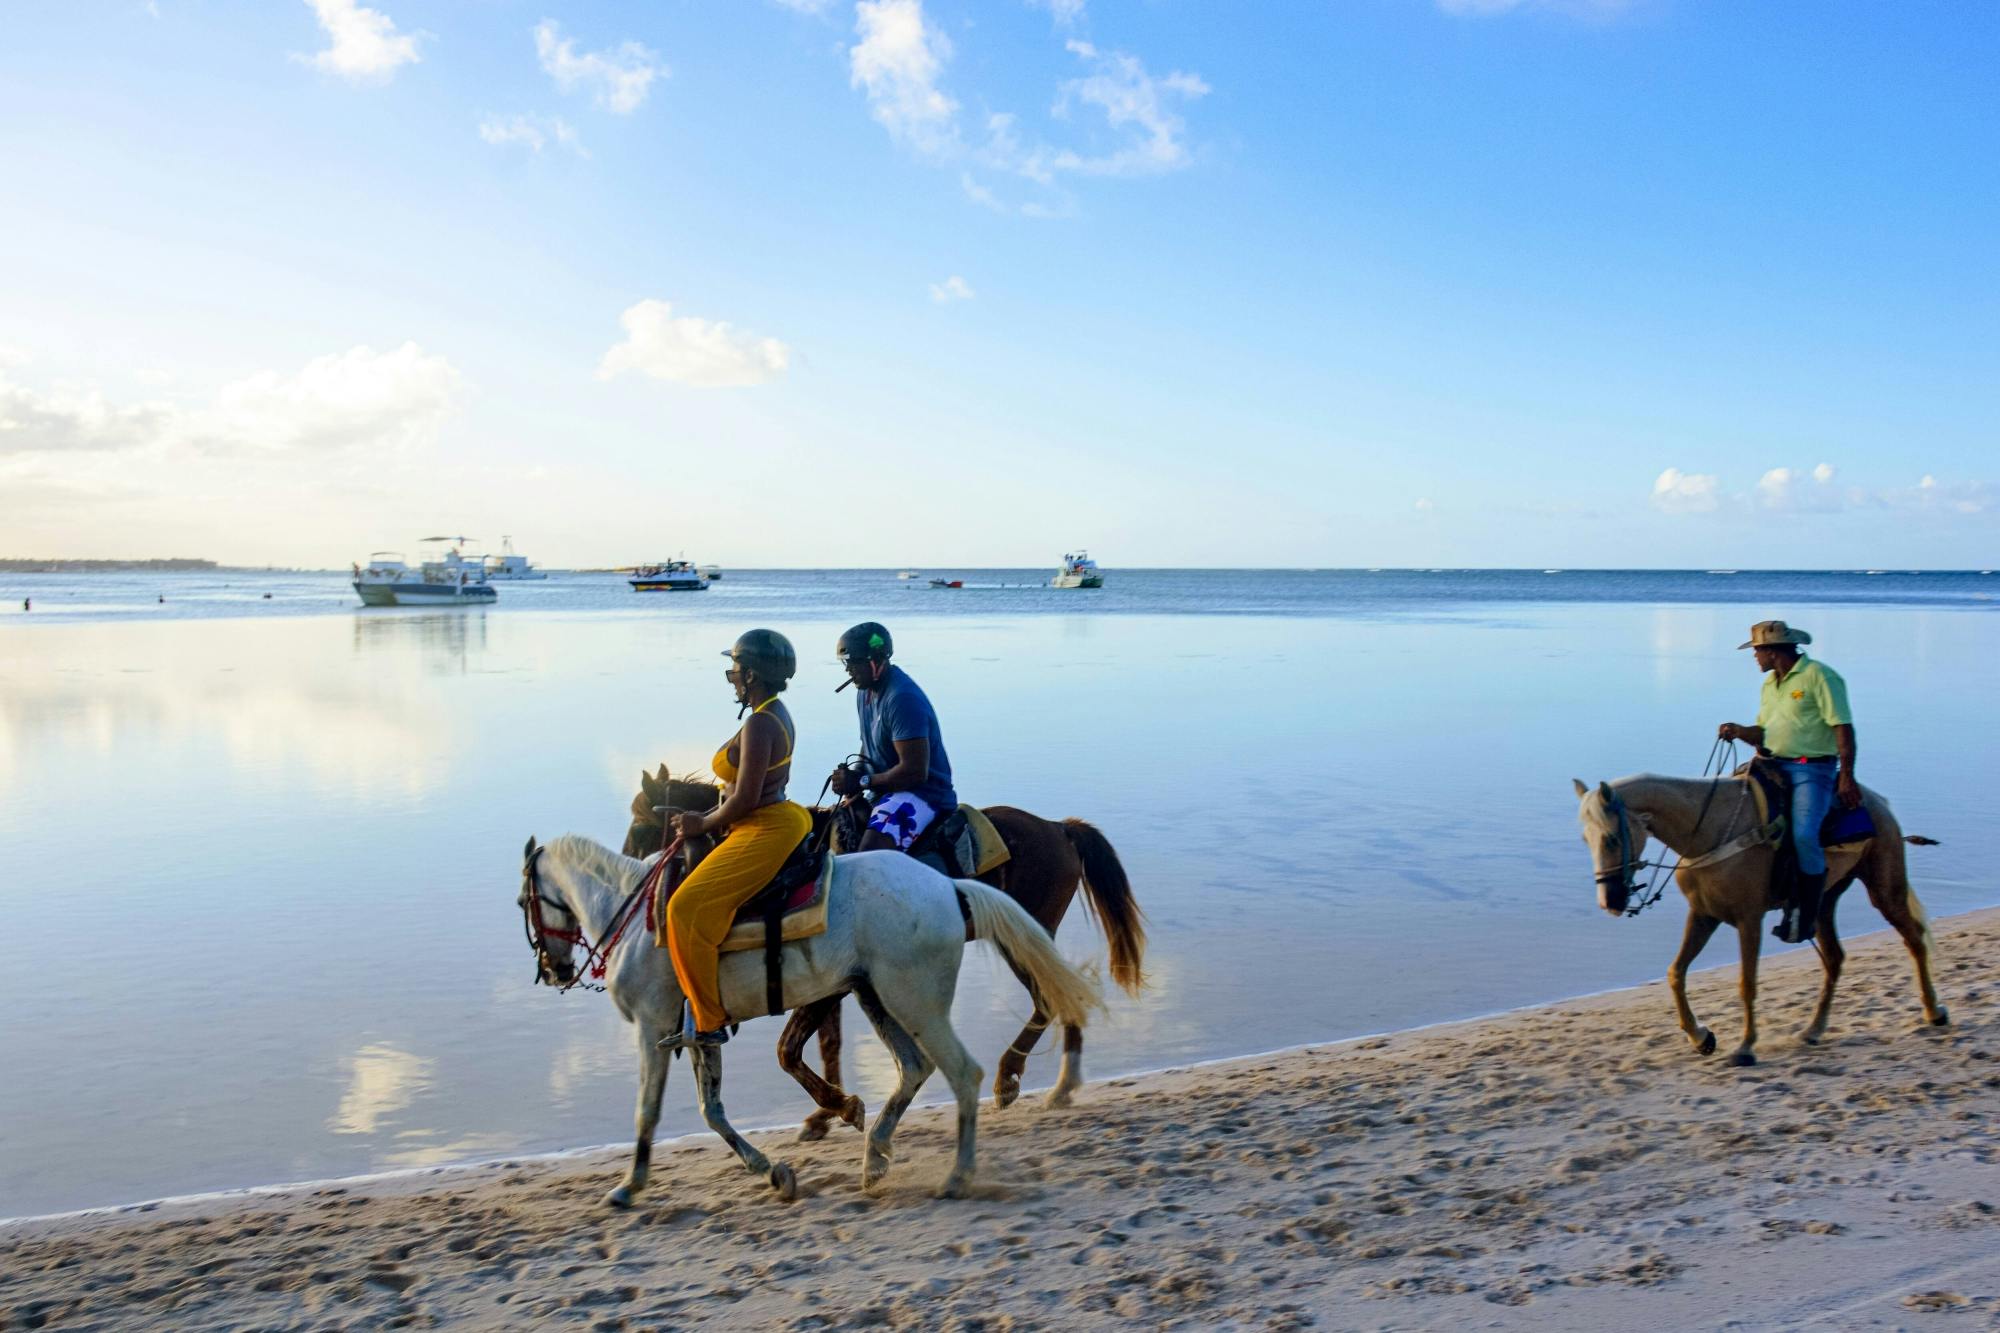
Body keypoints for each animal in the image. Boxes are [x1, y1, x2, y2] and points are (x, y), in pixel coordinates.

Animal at [516, 836, 1096, 1200]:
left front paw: (629, 1186)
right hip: (876, 996)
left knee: (961, 1072)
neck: (637, 917)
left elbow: (648, 1111)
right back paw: (874, 1156)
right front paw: (772, 1172)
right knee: (913, 1068)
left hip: (915, 1002)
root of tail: (947, 887)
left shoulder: (653, 1026)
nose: (552, 969)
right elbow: (712, 1111)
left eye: (525, 900)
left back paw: (956, 1176)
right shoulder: (701, 1035)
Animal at [632, 768, 1152, 1128]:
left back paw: (1013, 1076)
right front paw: (826, 1115)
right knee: (1063, 989)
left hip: (1024, 932)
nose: (639, 886)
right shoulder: (830, 979)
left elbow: (794, 1048)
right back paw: (1062, 1087)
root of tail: (1058, 827)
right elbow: (827, 1043)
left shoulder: (833, 981)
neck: (797, 858)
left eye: (638, 829)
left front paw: (837, 1108)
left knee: (1049, 995)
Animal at [1576, 772, 1936, 1064]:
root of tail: (1878, 802)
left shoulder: (1749, 920)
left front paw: (1745, 1047)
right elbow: (1676, 973)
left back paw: (1934, 1011)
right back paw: (1813, 1029)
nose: (1609, 901)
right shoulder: (1703, 915)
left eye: (1612, 838)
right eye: (1585, 839)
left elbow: (1746, 983)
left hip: (1885, 889)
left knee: (1914, 938)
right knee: (1834, 958)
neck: (1709, 830)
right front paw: (1701, 1038)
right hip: (1822, 903)